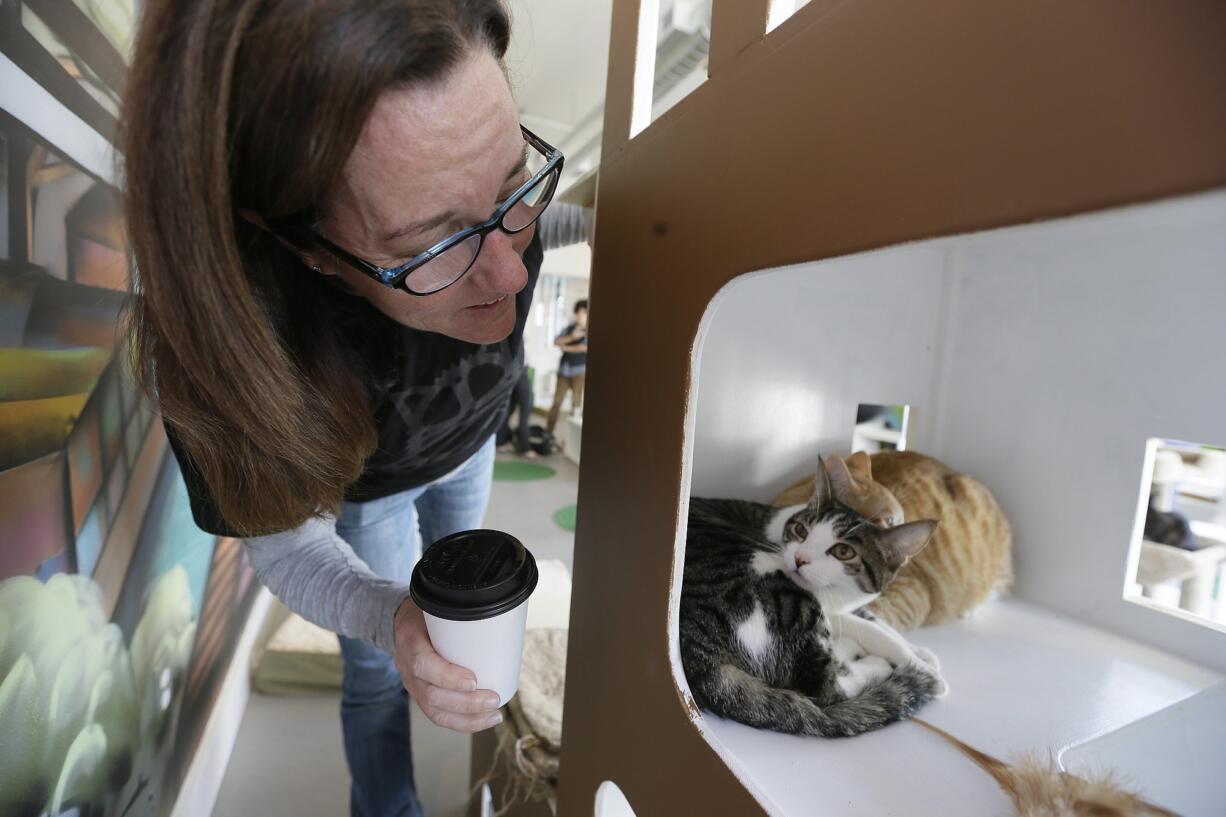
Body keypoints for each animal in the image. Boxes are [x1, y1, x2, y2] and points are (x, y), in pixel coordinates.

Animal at [681, 453, 946, 736]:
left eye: (843, 552)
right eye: (801, 531)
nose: (800, 558)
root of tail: (699, 656)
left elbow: (875, 619)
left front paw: (921, 652)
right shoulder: (827, 609)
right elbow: (872, 630)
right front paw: (923, 668)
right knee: (827, 688)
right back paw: (871, 661)